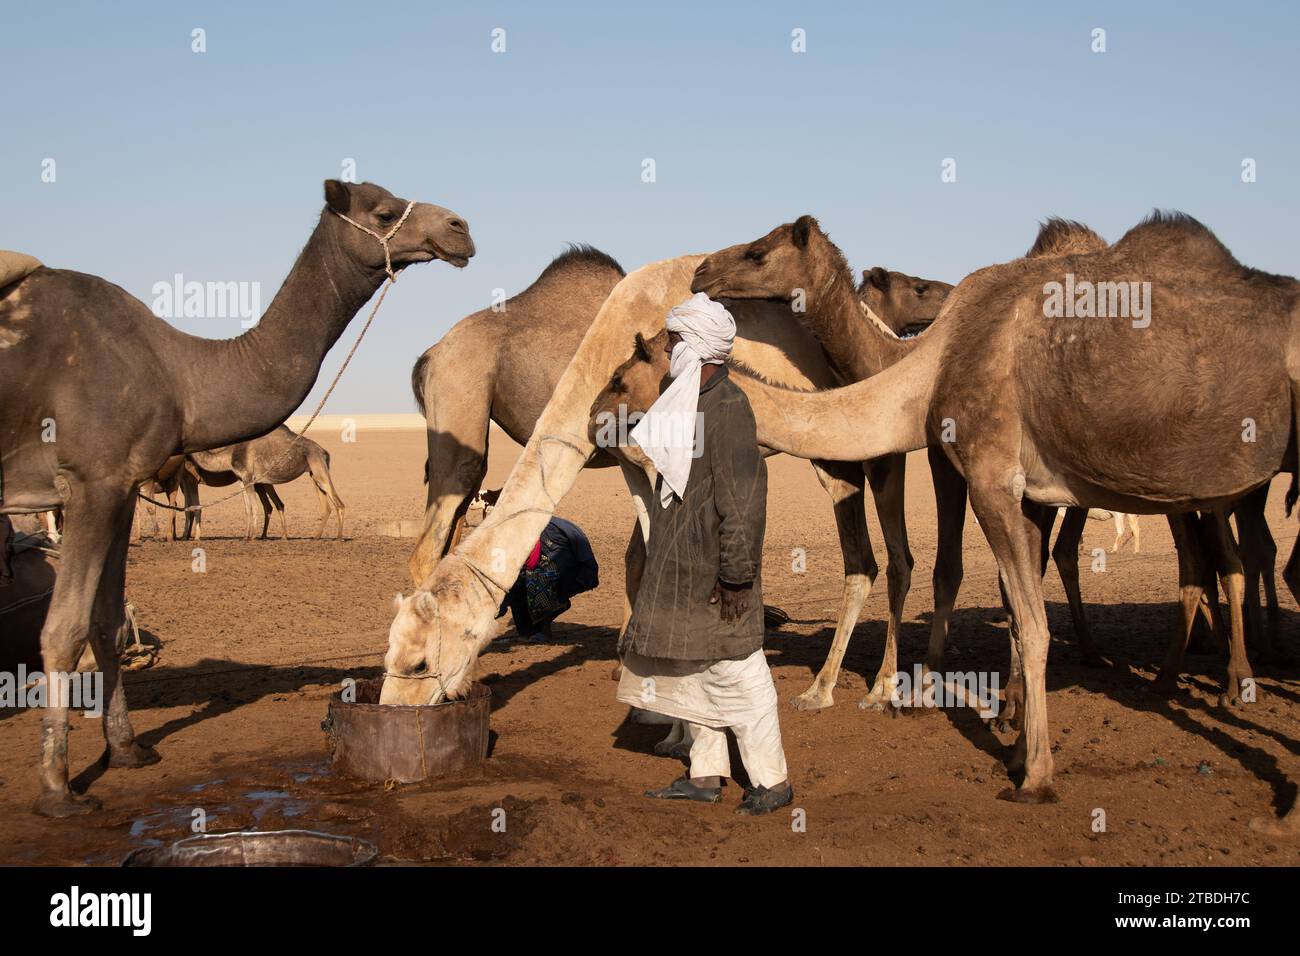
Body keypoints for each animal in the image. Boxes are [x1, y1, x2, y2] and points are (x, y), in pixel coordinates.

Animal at [187, 424, 345, 538]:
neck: (229, 455)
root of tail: (324, 451)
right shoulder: (241, 480)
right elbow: (247, 508)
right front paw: (245, 536)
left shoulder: (248, 477)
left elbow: (254, 506)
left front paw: (252, 537)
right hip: (313, 473)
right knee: (326, 507)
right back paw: (316, 537)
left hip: (319, 467)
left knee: (339, 503)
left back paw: (339, 537)